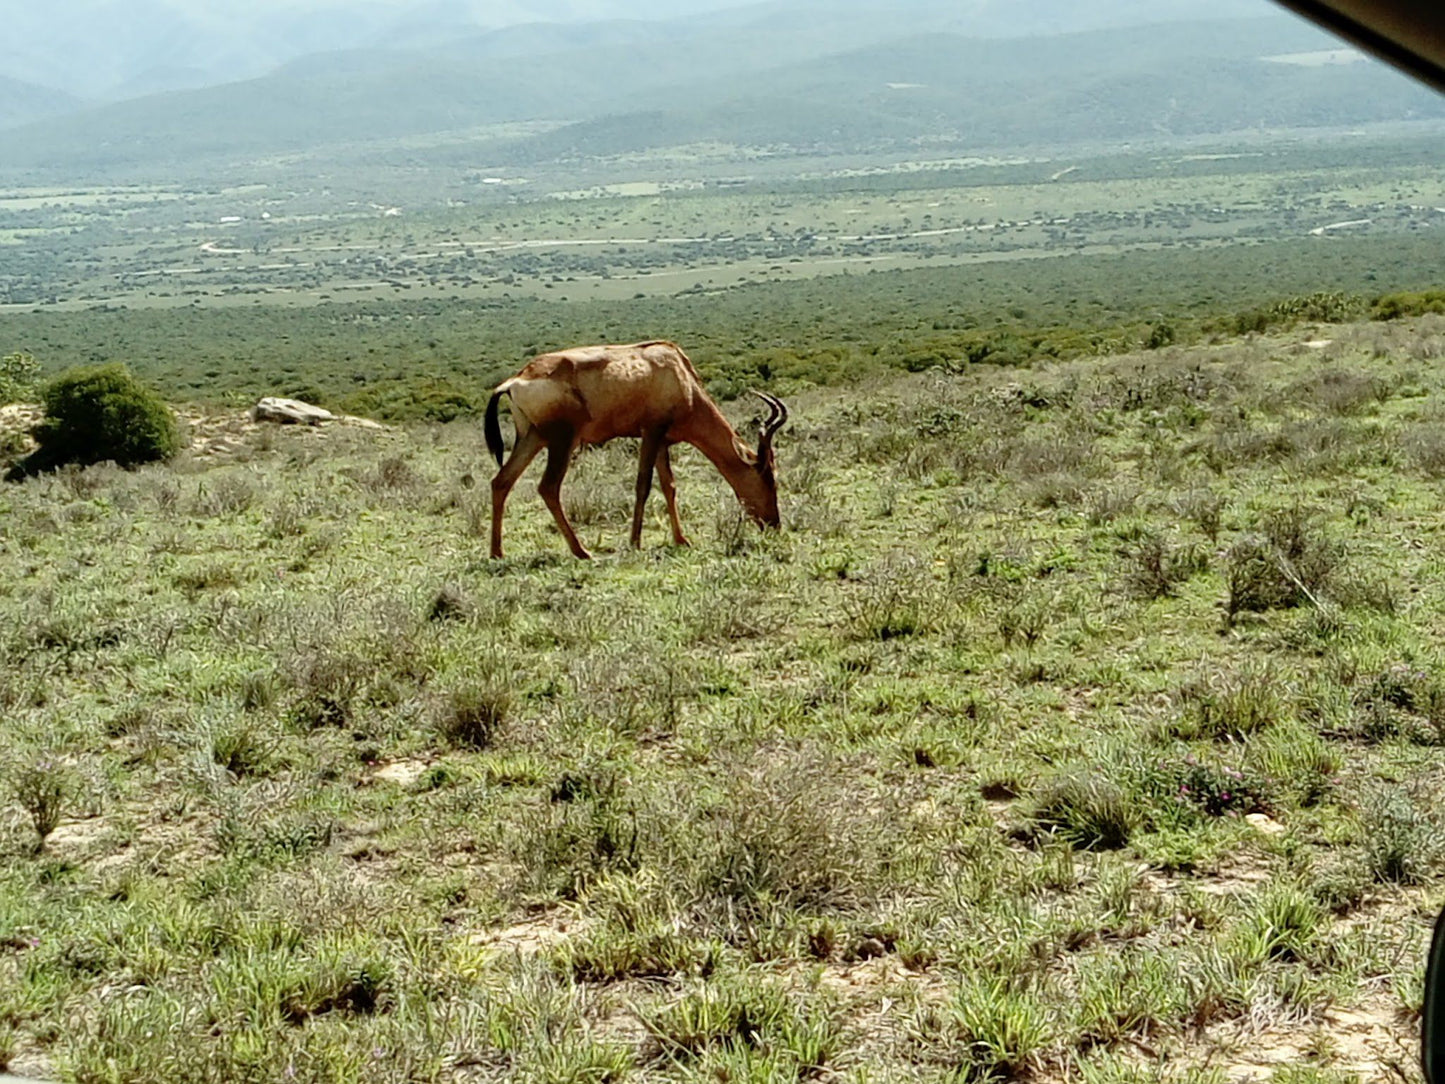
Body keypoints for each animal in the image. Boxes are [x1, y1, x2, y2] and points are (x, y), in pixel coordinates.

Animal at [485, 339, 786, 560]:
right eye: (769, 477)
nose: (774, 525)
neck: (678, 373)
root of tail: (514, 381)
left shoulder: (662, 440)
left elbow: (669, 486)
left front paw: (682, 540)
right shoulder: (651, 432)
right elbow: (643, 485)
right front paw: (635, 542)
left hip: (532, 438)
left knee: (501, 481)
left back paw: (497, 552)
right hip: (562, 440)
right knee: (548, 487)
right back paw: (582, 552)